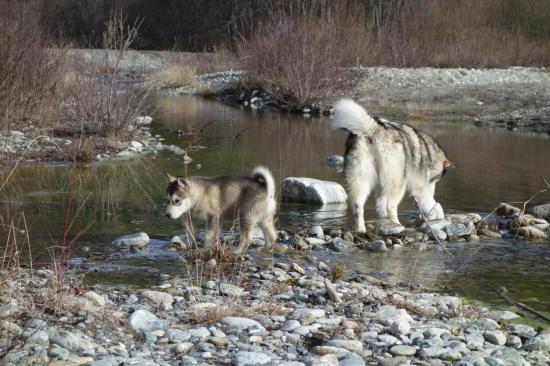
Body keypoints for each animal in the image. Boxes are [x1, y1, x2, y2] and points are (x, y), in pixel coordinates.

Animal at [332, 98, 452, 233]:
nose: (433, 193)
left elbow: (381, 207)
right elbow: (433, 204)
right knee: (390, 206)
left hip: (359, 177)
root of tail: (374, 128)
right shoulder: (419, 187)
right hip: (398, 182)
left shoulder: (380, 189)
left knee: (358, 205)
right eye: (435, 180)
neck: (427, 150)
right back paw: (397, 225)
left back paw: (361, 229)